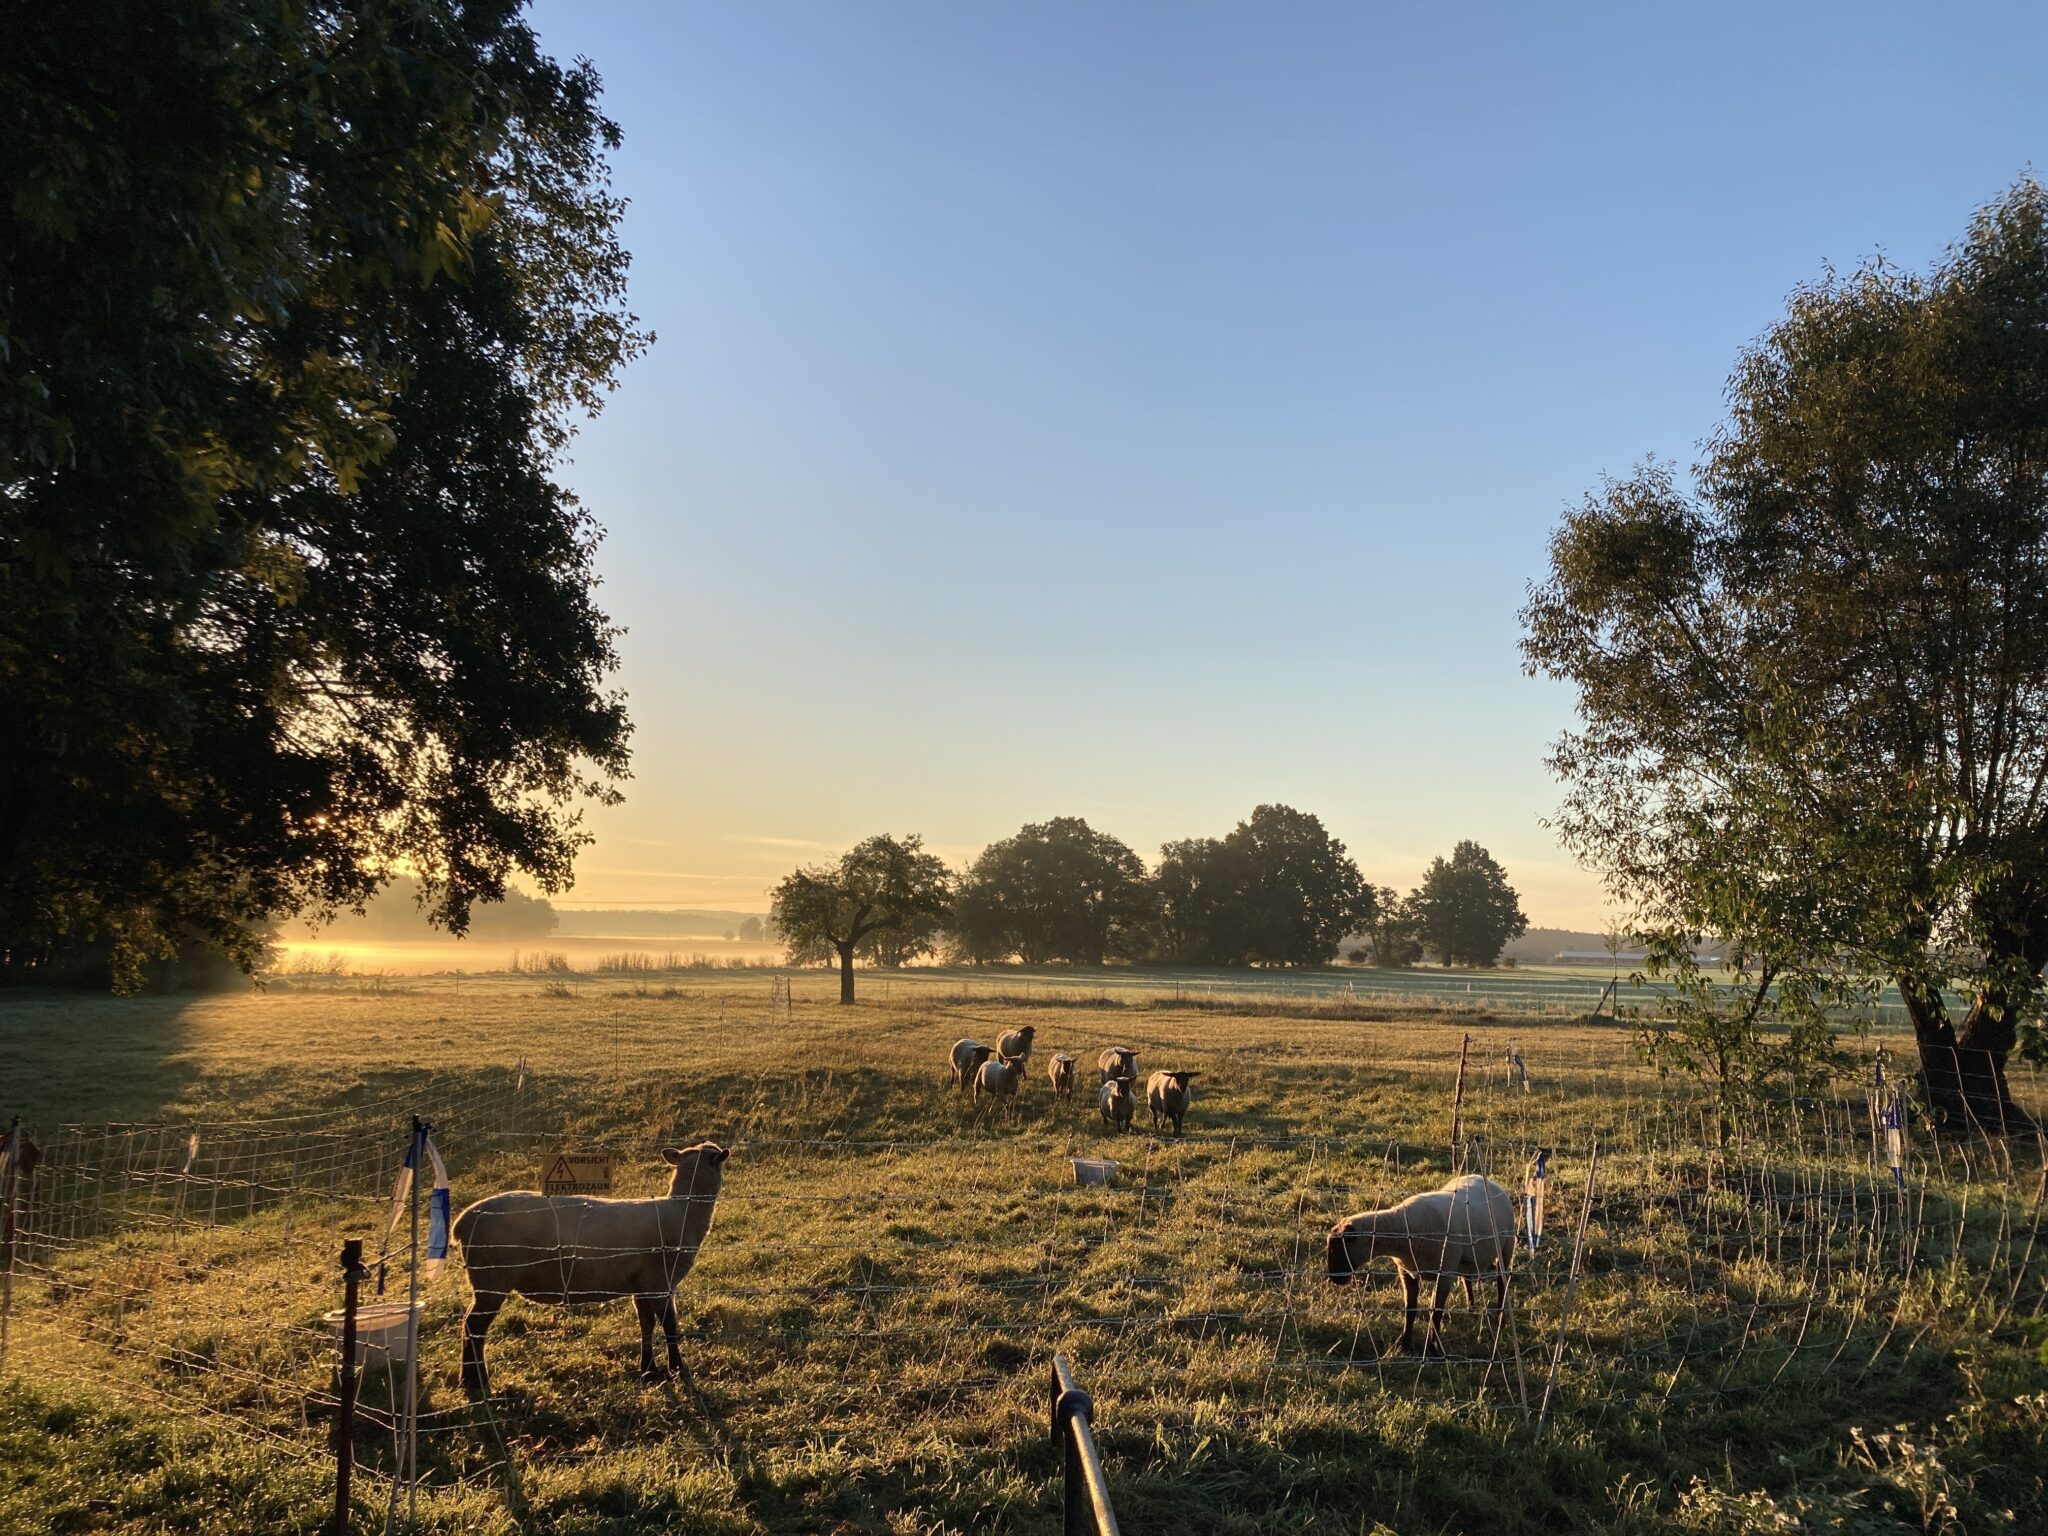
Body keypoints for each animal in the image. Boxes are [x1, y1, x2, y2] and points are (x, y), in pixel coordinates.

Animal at [454, 1146, 729, 1392]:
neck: (685, 1212)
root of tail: (463, 1221)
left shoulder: (641, 1285)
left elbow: (646, 1324)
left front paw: (649, 1370)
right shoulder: (660, 1281)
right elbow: (670, 1325)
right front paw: (678, 1368)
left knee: (471, 1326)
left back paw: (470, 1379)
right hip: (491, 1279)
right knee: (473, 1327)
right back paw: (474, 1380)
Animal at [1327, 1179, 1523, 1359]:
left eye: (1338, 1249)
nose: (1335, 1279)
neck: (1403, 1227)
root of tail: (1489, 1181)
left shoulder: (1444, 1273)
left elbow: (1436, 1312)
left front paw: (1433, 1349)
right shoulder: (1407, 1272)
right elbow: (1410, 1309)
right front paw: (1405, 1344)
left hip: (1506, 1247)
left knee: (1501, 1283)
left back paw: (1500, 1321)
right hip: (1465, 1258)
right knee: (1467, 1278)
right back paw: (1471, 1308)